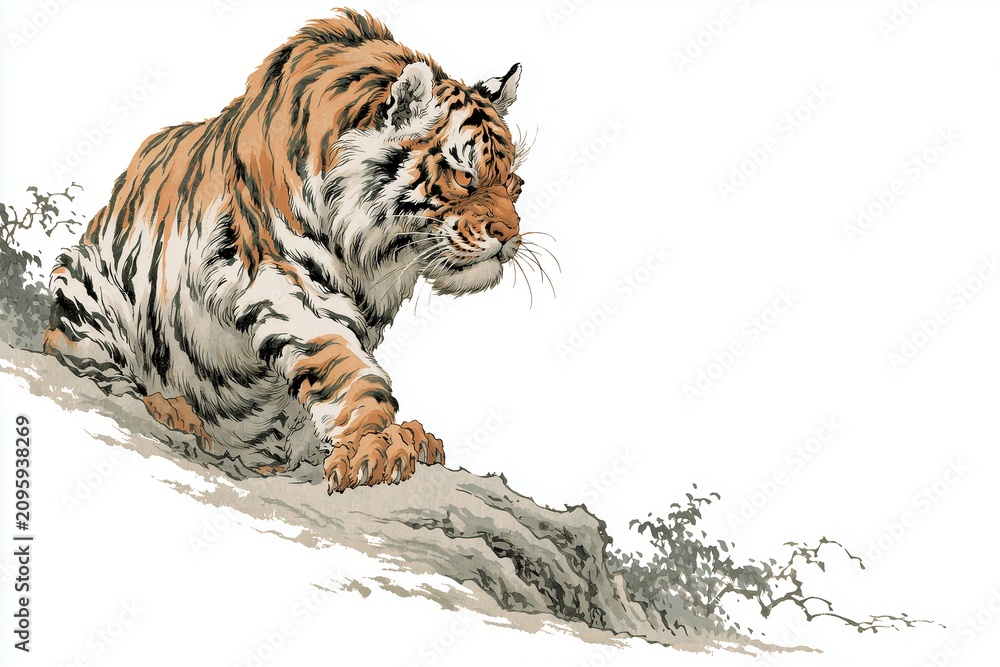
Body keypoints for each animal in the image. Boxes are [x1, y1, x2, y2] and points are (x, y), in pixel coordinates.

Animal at [43, 9, 530, 493]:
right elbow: (341, 362)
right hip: (89, 284)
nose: (510, 235)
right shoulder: (284, 276)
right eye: (464, 177)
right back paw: (174, 411)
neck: (376, 252)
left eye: (514, 184)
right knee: (85, 361)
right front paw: (374, 441)